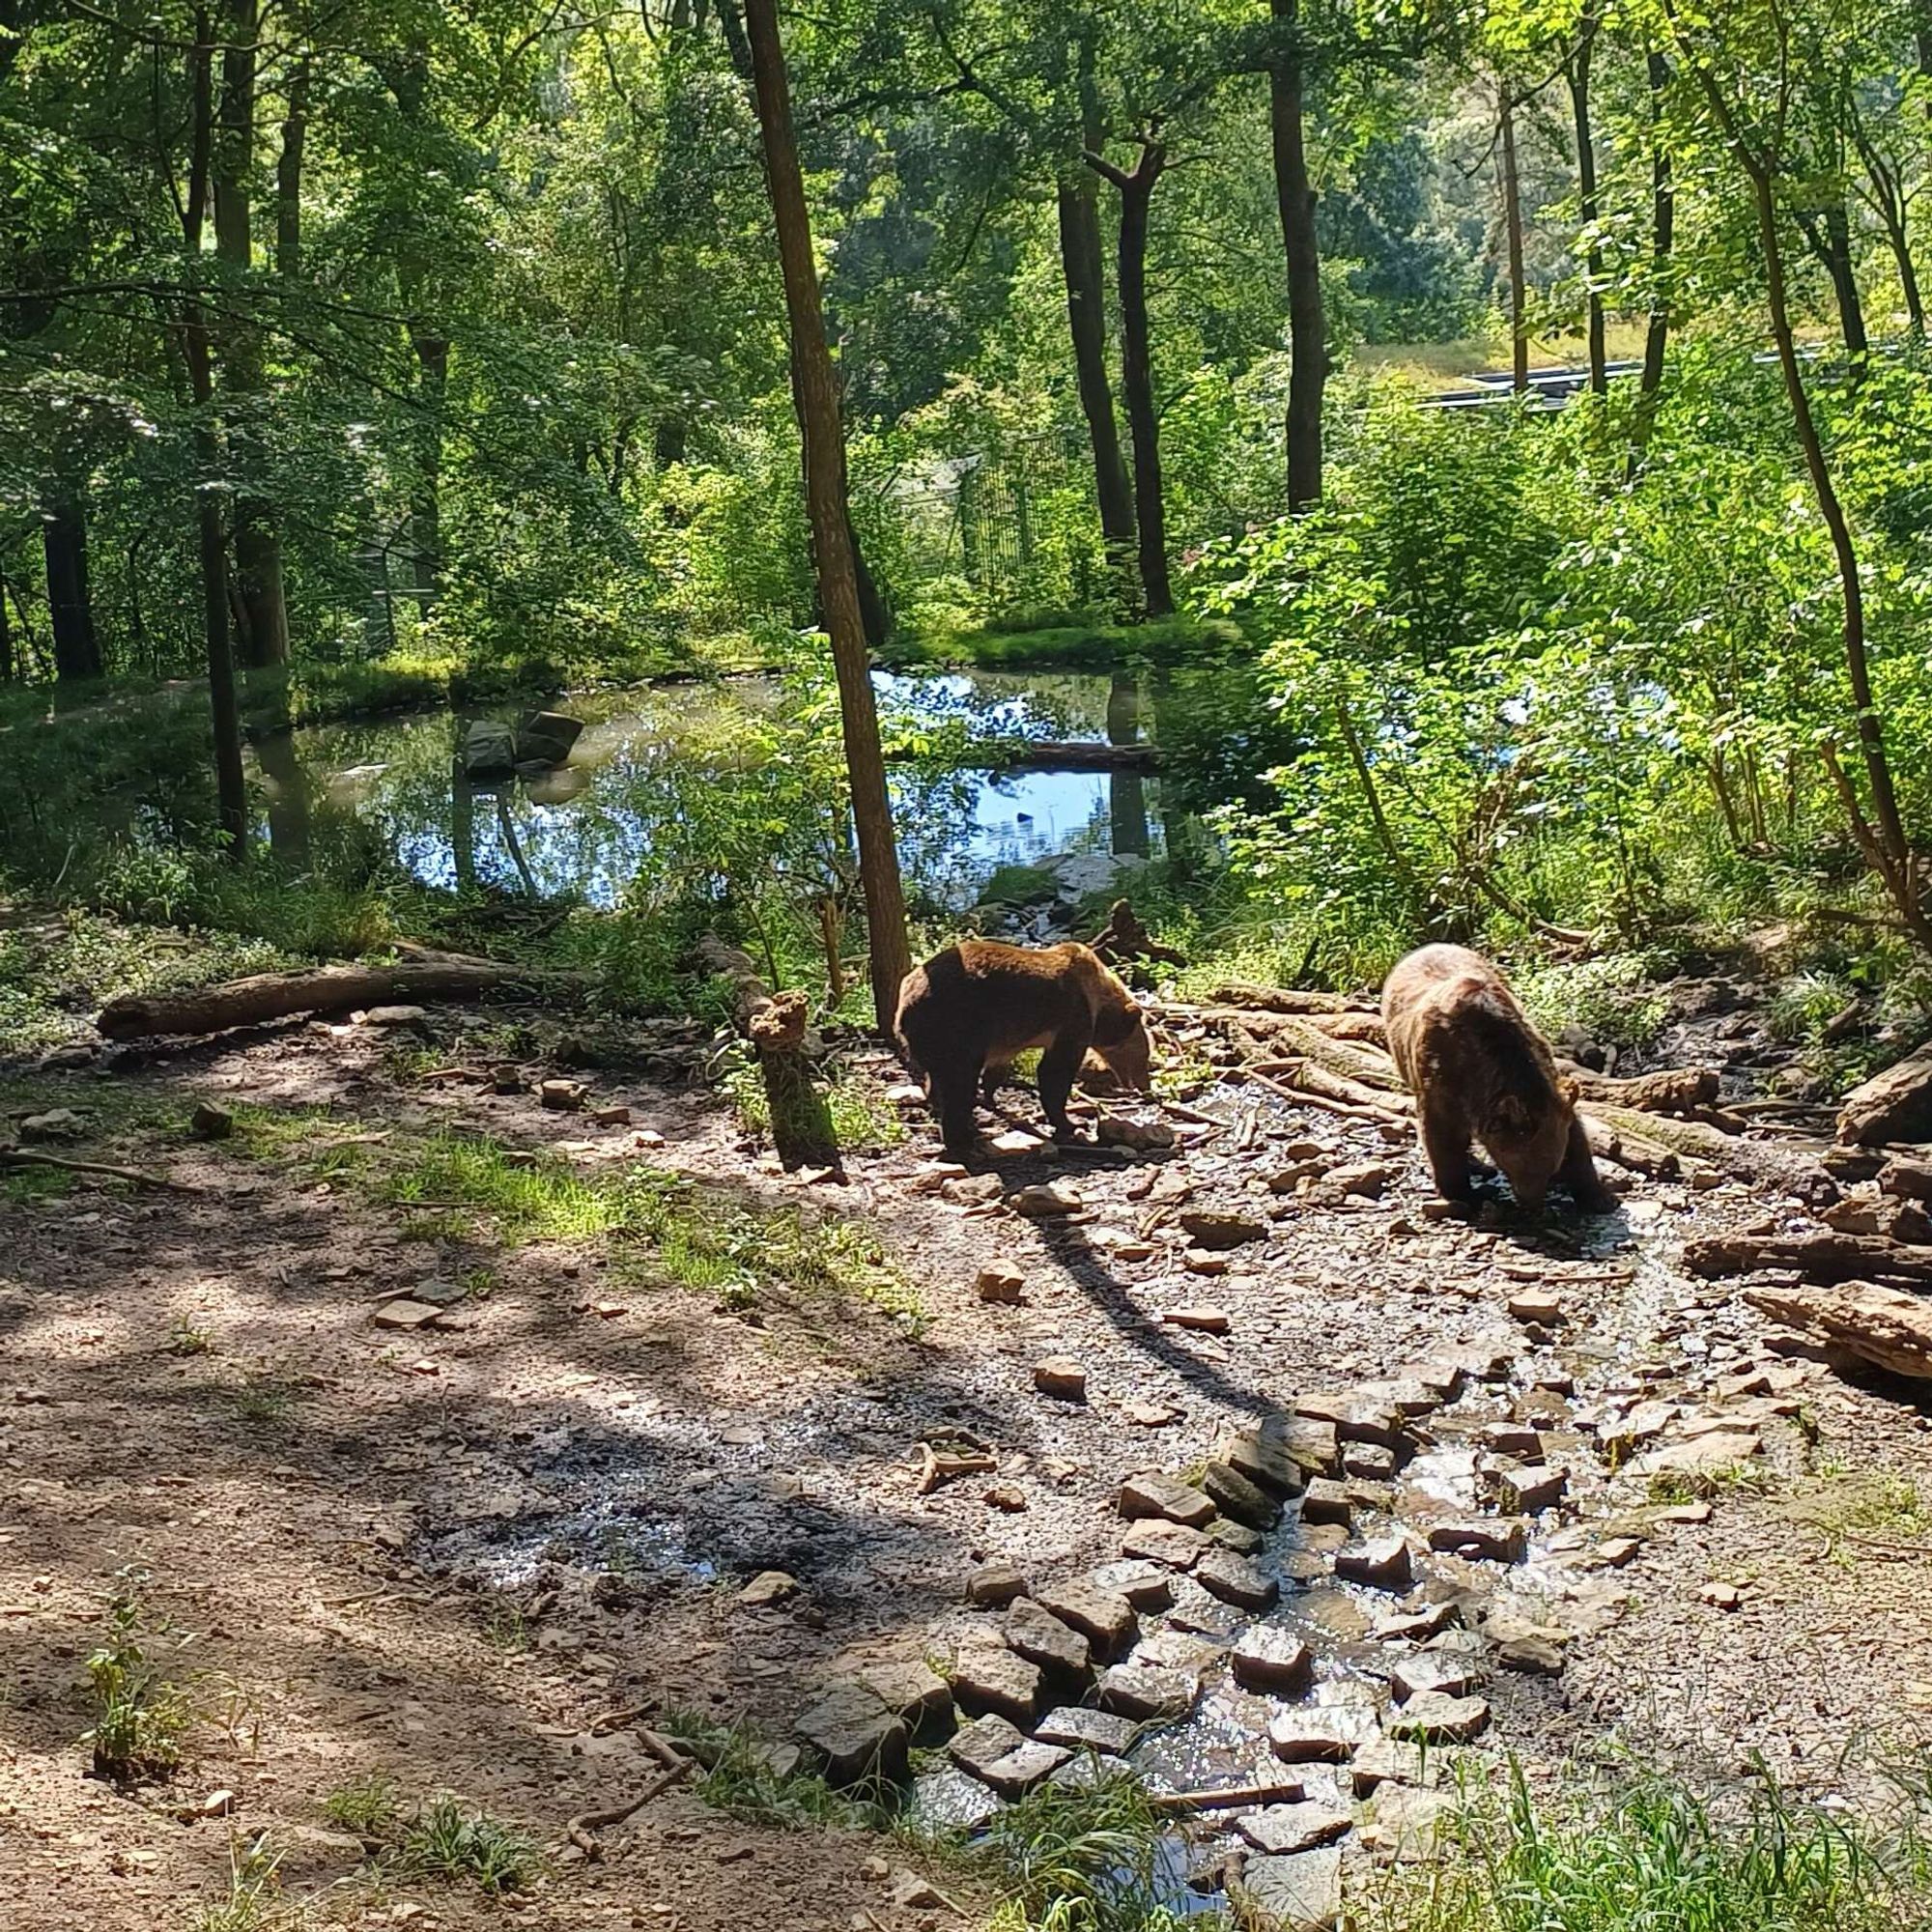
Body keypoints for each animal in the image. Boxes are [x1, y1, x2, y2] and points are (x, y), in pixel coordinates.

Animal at [889, 935, 1144, 1144]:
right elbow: (1055, 1072)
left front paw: (992, 1096)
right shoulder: (1072, 1017)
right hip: (955, 1022)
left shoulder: (1007, 1037)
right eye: (1142, 1055)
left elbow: (998, 1068)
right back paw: (964, 1137)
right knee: (959, 1080)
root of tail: (905, 1002)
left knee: (937, 1080)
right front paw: (1069, 1123)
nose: (1142, 1084)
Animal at [1383, 943, 1607, 1213]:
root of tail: (1427, 947)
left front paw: (1596, 1196)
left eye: (1550, 1168)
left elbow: (1575, 1132)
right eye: (1521, 1169)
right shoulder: (1439, 1083)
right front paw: (1462, 1193)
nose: (1531, 1203)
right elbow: (1442, 1139)